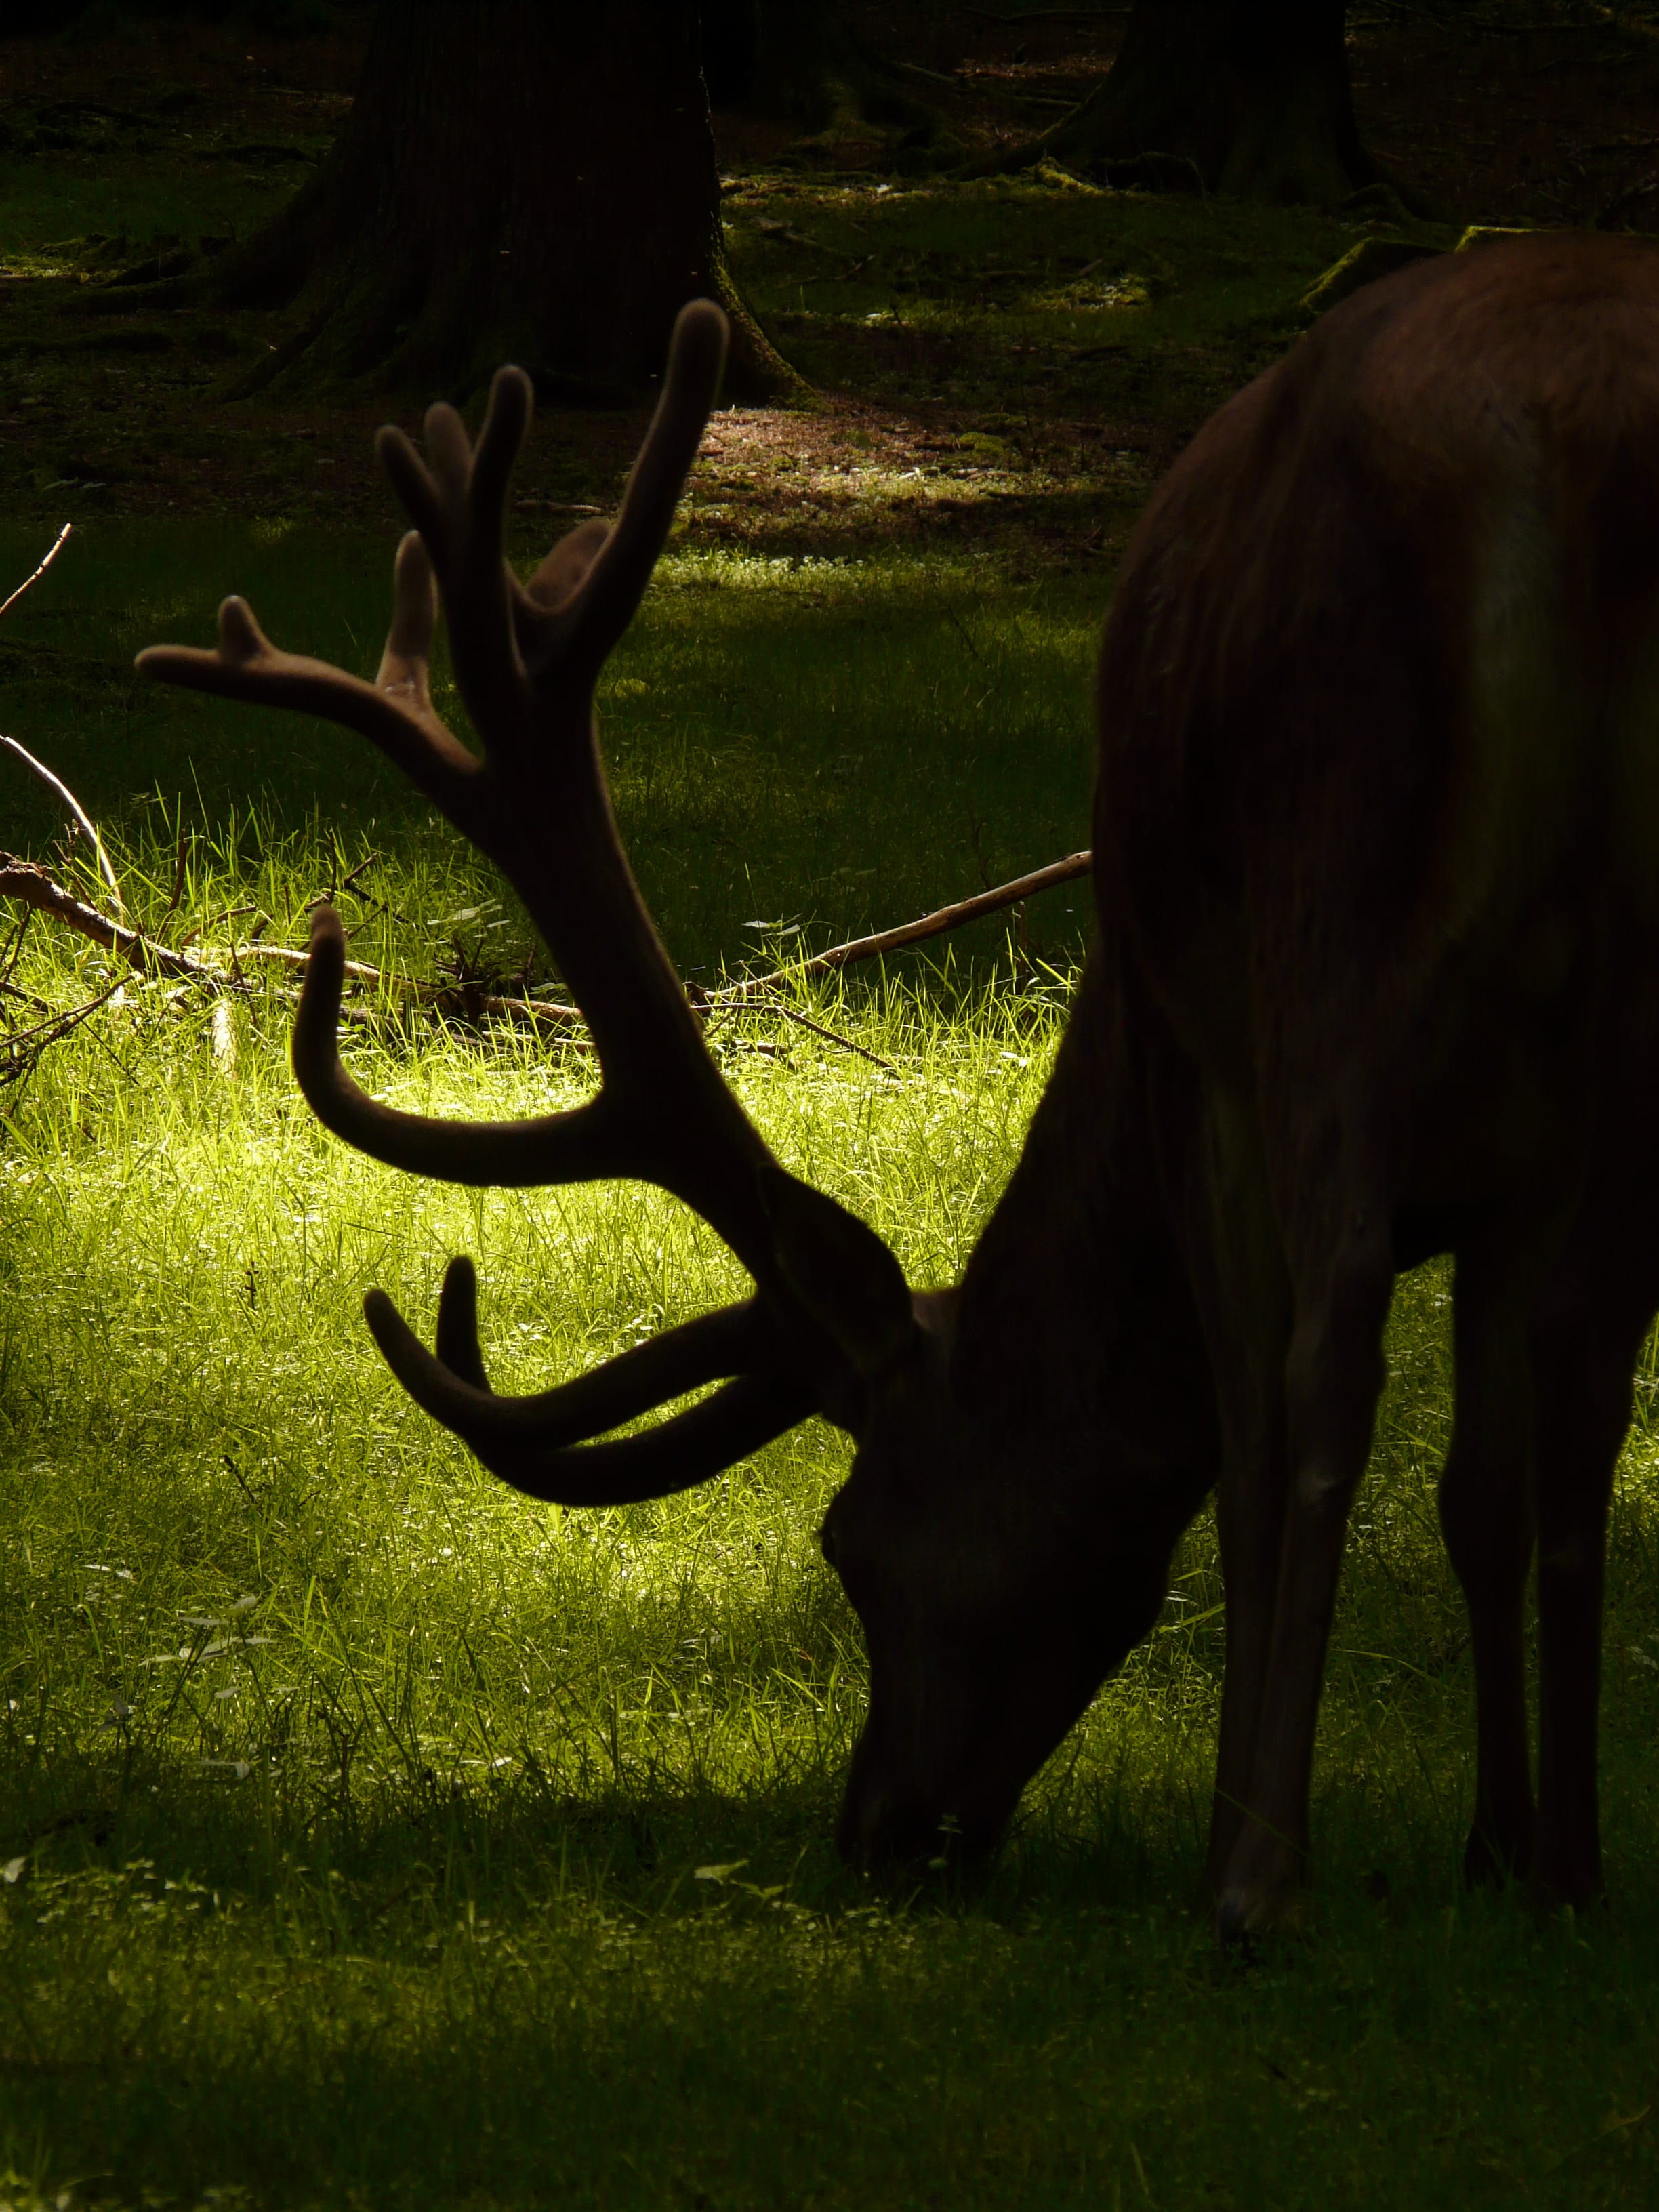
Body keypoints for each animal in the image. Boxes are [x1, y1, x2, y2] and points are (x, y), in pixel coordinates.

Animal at [139, 231, 1659, 1940]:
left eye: (853, 1543)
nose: (874, 1825)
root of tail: (1581, 455)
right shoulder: (1518, 1157)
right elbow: (1496, 1481)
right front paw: (1512, 1851)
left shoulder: (1203, 1053)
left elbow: (1266, 1436)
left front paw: (1263, 1834)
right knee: (1566, 1403)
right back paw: (1556, 1861)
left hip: (1334, 889)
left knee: (1328, 1360)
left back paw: (1255, 1878)